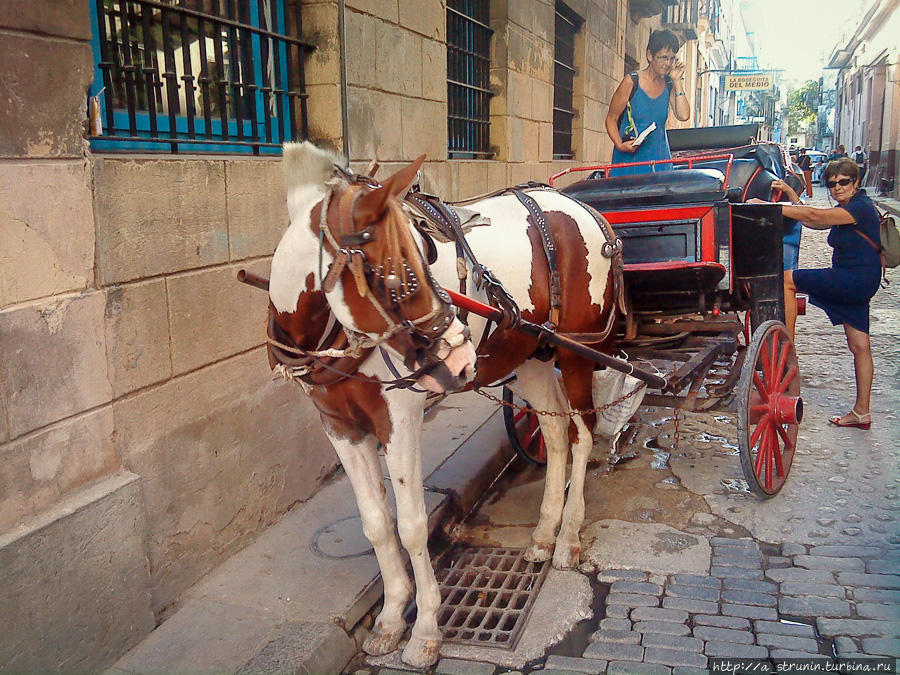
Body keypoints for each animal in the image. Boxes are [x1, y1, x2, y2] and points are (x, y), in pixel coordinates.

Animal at [268, 141, 620, 664]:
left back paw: (569, 538)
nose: (459, 353)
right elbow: (377, 523)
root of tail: (584, 209)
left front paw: (425, 630)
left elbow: (412, 524)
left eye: (424, 255)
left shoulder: (398, 418)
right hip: (530, 353)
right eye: (394, 275)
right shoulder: (339, 424)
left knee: (582, 434)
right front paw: (391, 617)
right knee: (555, 432)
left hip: (576, 352)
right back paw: (543, 533)